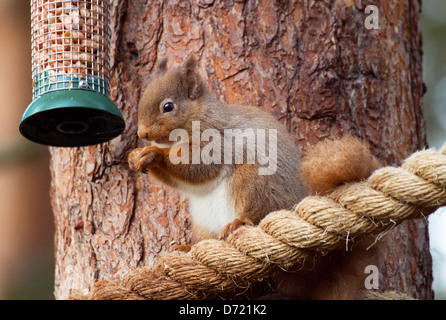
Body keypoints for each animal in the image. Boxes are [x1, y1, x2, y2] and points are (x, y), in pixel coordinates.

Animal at [127, 56, 382, 298]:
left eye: (168, 106)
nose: (142, 133)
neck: (198, 117)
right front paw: (134, 156)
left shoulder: (215, 141)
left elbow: (197, 167)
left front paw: (155, 154)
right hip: (203, 221)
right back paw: (189, 248)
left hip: (252, 181)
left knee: (254, 214)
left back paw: (238, 222)